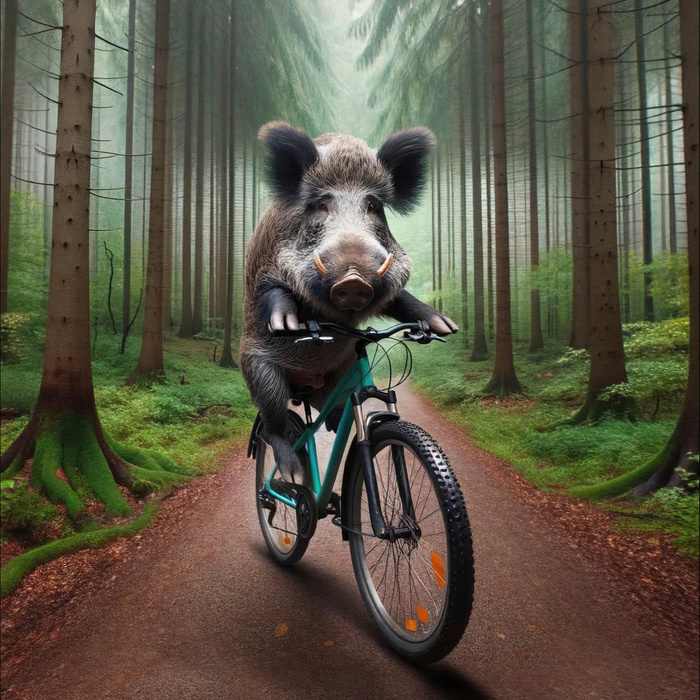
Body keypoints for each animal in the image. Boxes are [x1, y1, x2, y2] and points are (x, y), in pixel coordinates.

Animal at [240, 122, 458, 481]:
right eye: (321, 204)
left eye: (373, 206)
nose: (353, 279)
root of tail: (307, 384)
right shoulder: (266, 265)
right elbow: (273, 289)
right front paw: (286, 324)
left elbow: (400, 298)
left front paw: (445, 326)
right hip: (259, 373)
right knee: (274, 426)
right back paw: (293, 474)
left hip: (338, 380)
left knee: (332, 413)